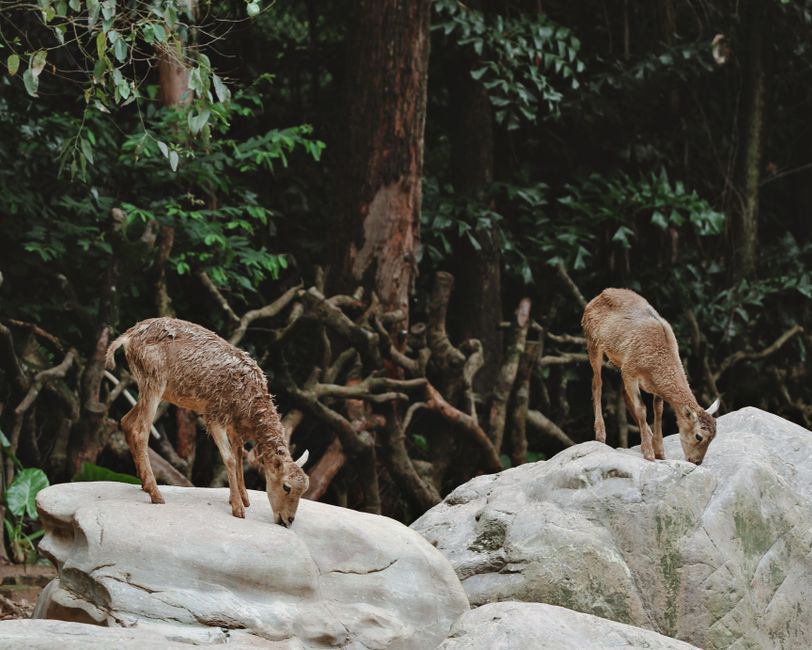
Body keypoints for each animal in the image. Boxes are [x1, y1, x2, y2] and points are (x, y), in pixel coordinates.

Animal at [105, 317, 309, 527]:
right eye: (286, 486)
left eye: (304, 489)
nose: (288, 520)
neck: (250, 407)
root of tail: (127, 337)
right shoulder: (214, 415)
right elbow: (229, 458)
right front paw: (238, 508)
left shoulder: (234, 426)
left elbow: (238, 456)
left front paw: (244, 499)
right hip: (154, 381)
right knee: (141, 431)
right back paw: (156, 494)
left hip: (150, 387)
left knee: (126, 421)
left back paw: (145, 484)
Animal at [581, 288, 720, 465]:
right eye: (699, 436)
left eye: (713, 437)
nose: (696, 461)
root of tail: (596, 298)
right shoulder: (630, 371)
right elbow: (642, 408)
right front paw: (649, 453)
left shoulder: (651, 385)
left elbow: (658, 410)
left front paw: (659, 452)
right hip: (592, 342)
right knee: (597, 384)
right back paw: (600, 435)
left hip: (618, 361)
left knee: (623, 395)